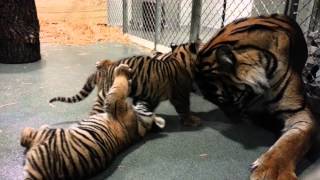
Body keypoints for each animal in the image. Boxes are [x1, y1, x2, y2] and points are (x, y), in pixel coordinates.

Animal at [20, 64, 166, 179]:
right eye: (145, 103)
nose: (144, 99)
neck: (140, 123)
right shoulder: (100, 110)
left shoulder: (115, 103)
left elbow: (118, 86)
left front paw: (122, 71)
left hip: (48, 134)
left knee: (26, 136)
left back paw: (28, 129)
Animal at [49, 42, 201, 126]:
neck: (179, 59)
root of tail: (102, 71)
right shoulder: (180, 95)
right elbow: (184, 108)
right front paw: (192, 120)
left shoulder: (150, 94)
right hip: (105, 93)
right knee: (95, 110)